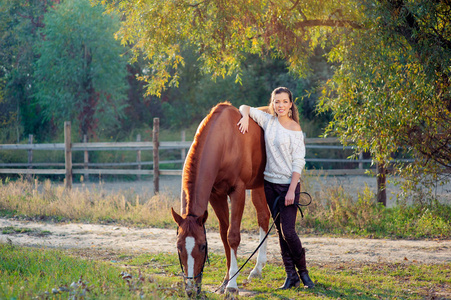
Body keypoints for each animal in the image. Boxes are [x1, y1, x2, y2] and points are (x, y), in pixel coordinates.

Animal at [172, 102, 272, 296]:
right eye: (179, 247)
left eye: (203, 246)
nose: (191, 290)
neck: (224, 142)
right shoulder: (216, 195)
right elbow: (224, 234)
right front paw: (226, 280)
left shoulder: (237, 191)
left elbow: (233, 236)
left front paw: (232, 286)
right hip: (258, 187)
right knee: (263, 217)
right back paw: (257, 269)